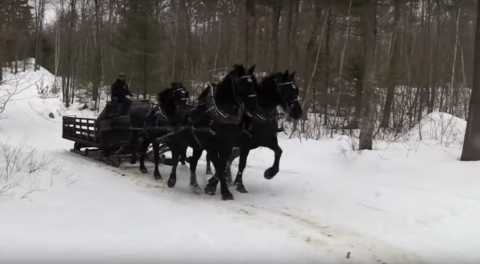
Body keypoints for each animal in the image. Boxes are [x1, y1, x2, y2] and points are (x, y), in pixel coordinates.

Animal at [165, 64, 256, 200]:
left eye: (253, 83)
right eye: (242, 83)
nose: (254, 107)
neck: (219, 116)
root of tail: (181, 109)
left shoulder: (226, 147)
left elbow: (222, 166)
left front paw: (215, 187)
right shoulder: (212, 147)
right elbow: (219, 166)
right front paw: (221, 190)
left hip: (197, 146)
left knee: (193, 163)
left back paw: (195, 185)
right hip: (178, 141)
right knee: (176, 157)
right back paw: (172, 180)